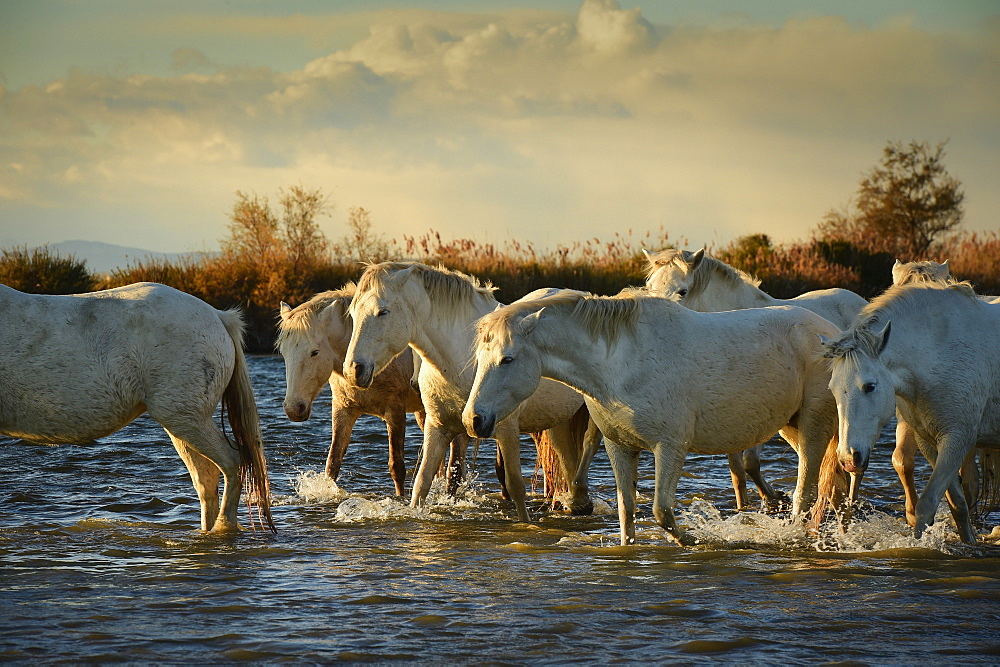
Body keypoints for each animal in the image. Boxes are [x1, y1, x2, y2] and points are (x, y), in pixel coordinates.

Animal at [0, 282, 274, 532]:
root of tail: (217, 316)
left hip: (186, 420)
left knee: (232, 462)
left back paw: (223, 526)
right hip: (184, 424)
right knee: (206, 479)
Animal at [342, 262, 600, 520]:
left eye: (382, 312)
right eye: (353, 314)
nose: (353, 370)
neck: (460, 358)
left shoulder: (506, 429)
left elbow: (515, 486)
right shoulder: (438, 427)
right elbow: (422, 482)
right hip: (558, 420)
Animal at [464, 290, 840, 544]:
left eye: (507, 359)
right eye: (480, 359)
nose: (473, 421)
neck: (621, 362)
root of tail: (833, 333)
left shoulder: (670, 446)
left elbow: (661, 510)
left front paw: (693, 541)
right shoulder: (619, 446)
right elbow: (627, 510)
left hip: (812, 427)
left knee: (805, 491)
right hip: (790, 426)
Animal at [640, 248, 868, 508]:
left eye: (682, 291)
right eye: (649, 285)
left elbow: (750, 462)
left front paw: (772, 497)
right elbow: (737, 469)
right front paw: (745, 506)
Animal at [820, 282, 1000, 544]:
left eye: (869, 386)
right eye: (833, 389)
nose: (847, 459)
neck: (939, 353)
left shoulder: (958, 440)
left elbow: (926, 504)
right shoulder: (929, 441)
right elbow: (958, 505)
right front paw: (969, 543)